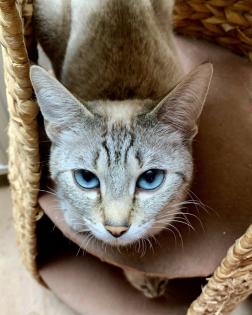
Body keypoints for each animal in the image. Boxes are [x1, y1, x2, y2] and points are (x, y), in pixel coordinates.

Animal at [31, 0, 213, 298]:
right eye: (86, 178)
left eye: (150, 179)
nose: (116, 229)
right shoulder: (75, 219)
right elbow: (110, 248)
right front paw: (139, 276)